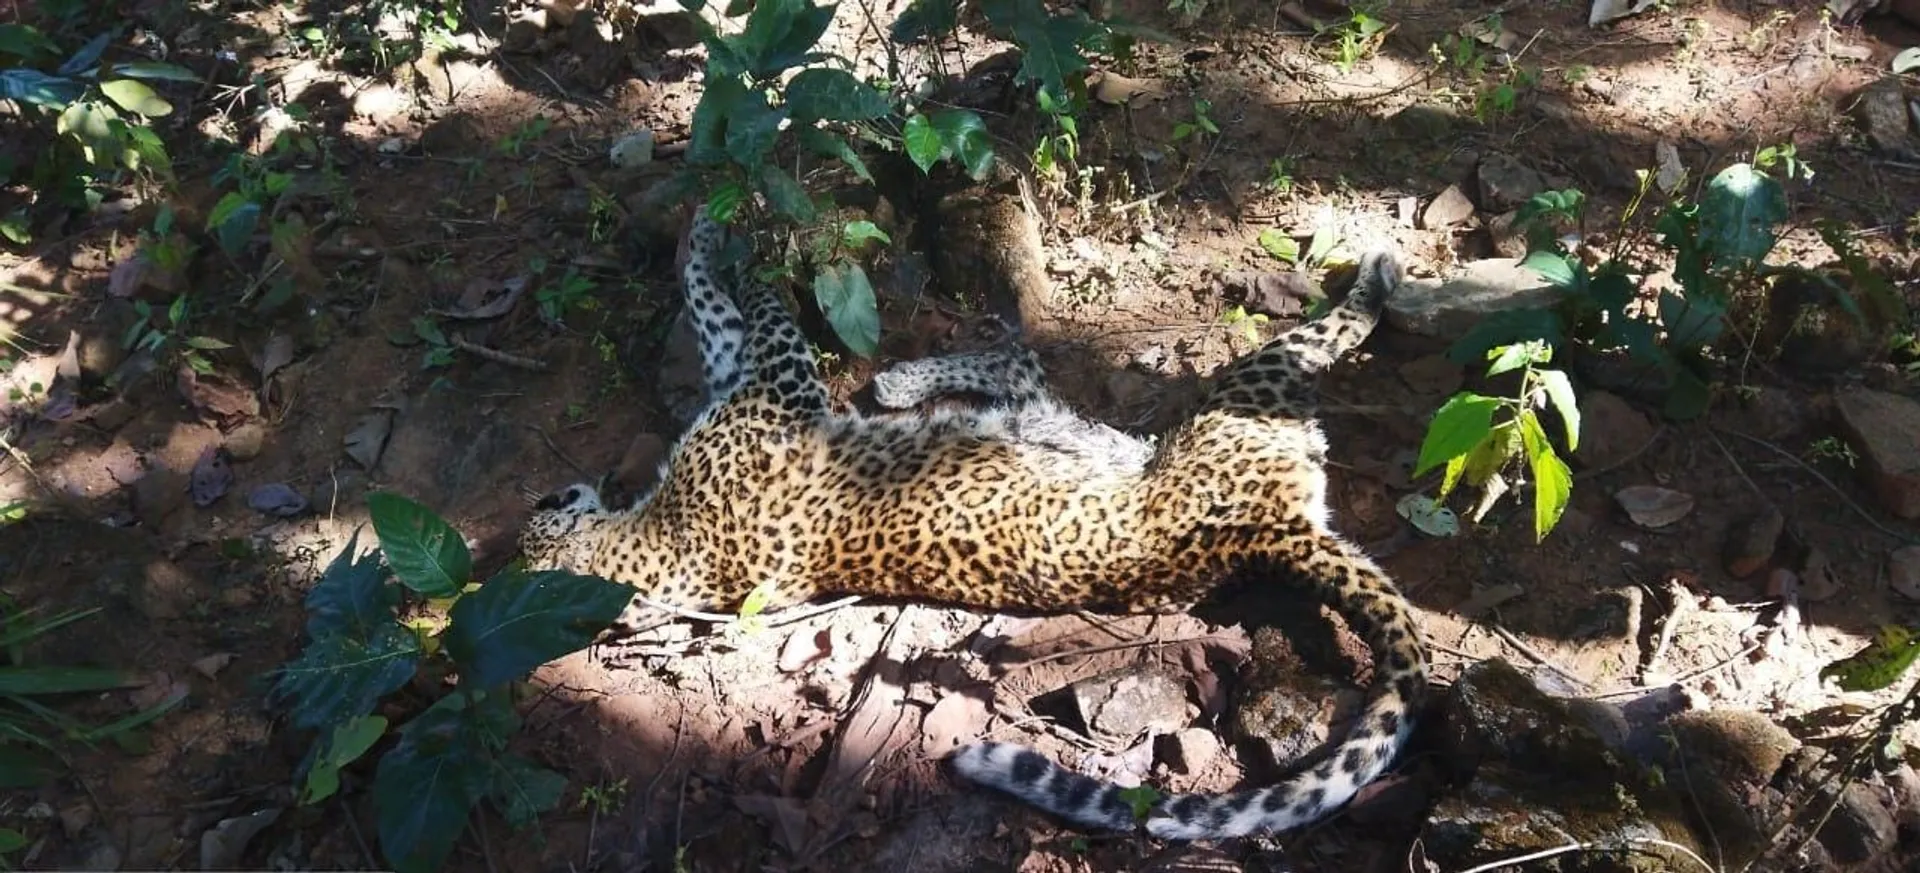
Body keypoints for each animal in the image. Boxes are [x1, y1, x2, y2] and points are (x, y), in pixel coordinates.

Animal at [518, 206, 1429, 841]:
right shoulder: (775, 385)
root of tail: (1274, 535)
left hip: (1120, 434)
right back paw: (1379, 272)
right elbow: (751, 311)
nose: (542, 498)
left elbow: (718, 309)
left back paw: (908, 379)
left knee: (1032, 381)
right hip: (1244, 392)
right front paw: (728, 234)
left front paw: (716, 226)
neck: (663, 546)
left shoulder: (754, 384)